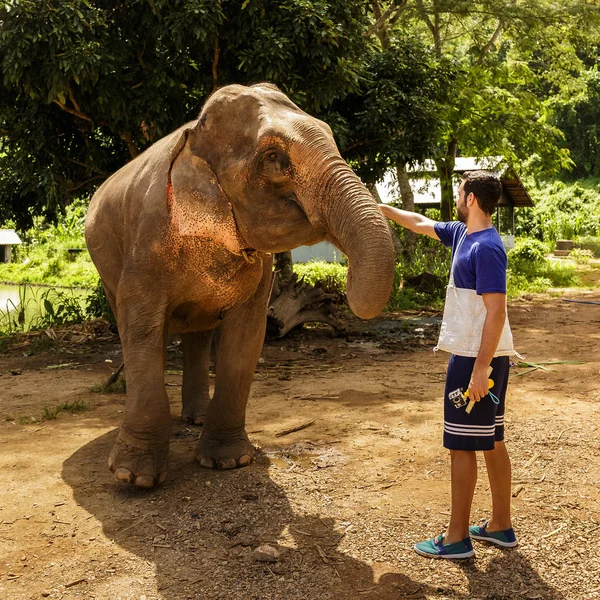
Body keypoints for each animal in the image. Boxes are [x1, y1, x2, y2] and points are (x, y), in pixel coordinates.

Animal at [83, 83, 394, 488]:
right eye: (274, 157)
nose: (342, 286)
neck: (194, 137)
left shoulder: (259, 269)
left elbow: (247, 334)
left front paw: (229, 462)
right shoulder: (146, 242)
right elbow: (140, 328)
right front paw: (134, 479)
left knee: (198, 334)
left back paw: (196, 418)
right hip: (106, 265)